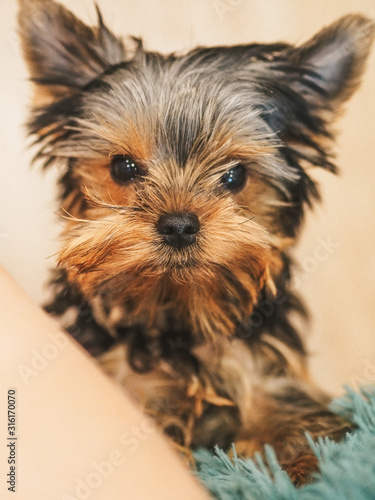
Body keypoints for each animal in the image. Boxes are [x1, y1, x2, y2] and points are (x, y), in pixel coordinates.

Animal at [18, 0, 375, 484]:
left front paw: (305, 464)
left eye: (235, 175)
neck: (176, 309)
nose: (179, 225)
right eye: (123, 168)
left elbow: (290, 413)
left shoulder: (264, 368)